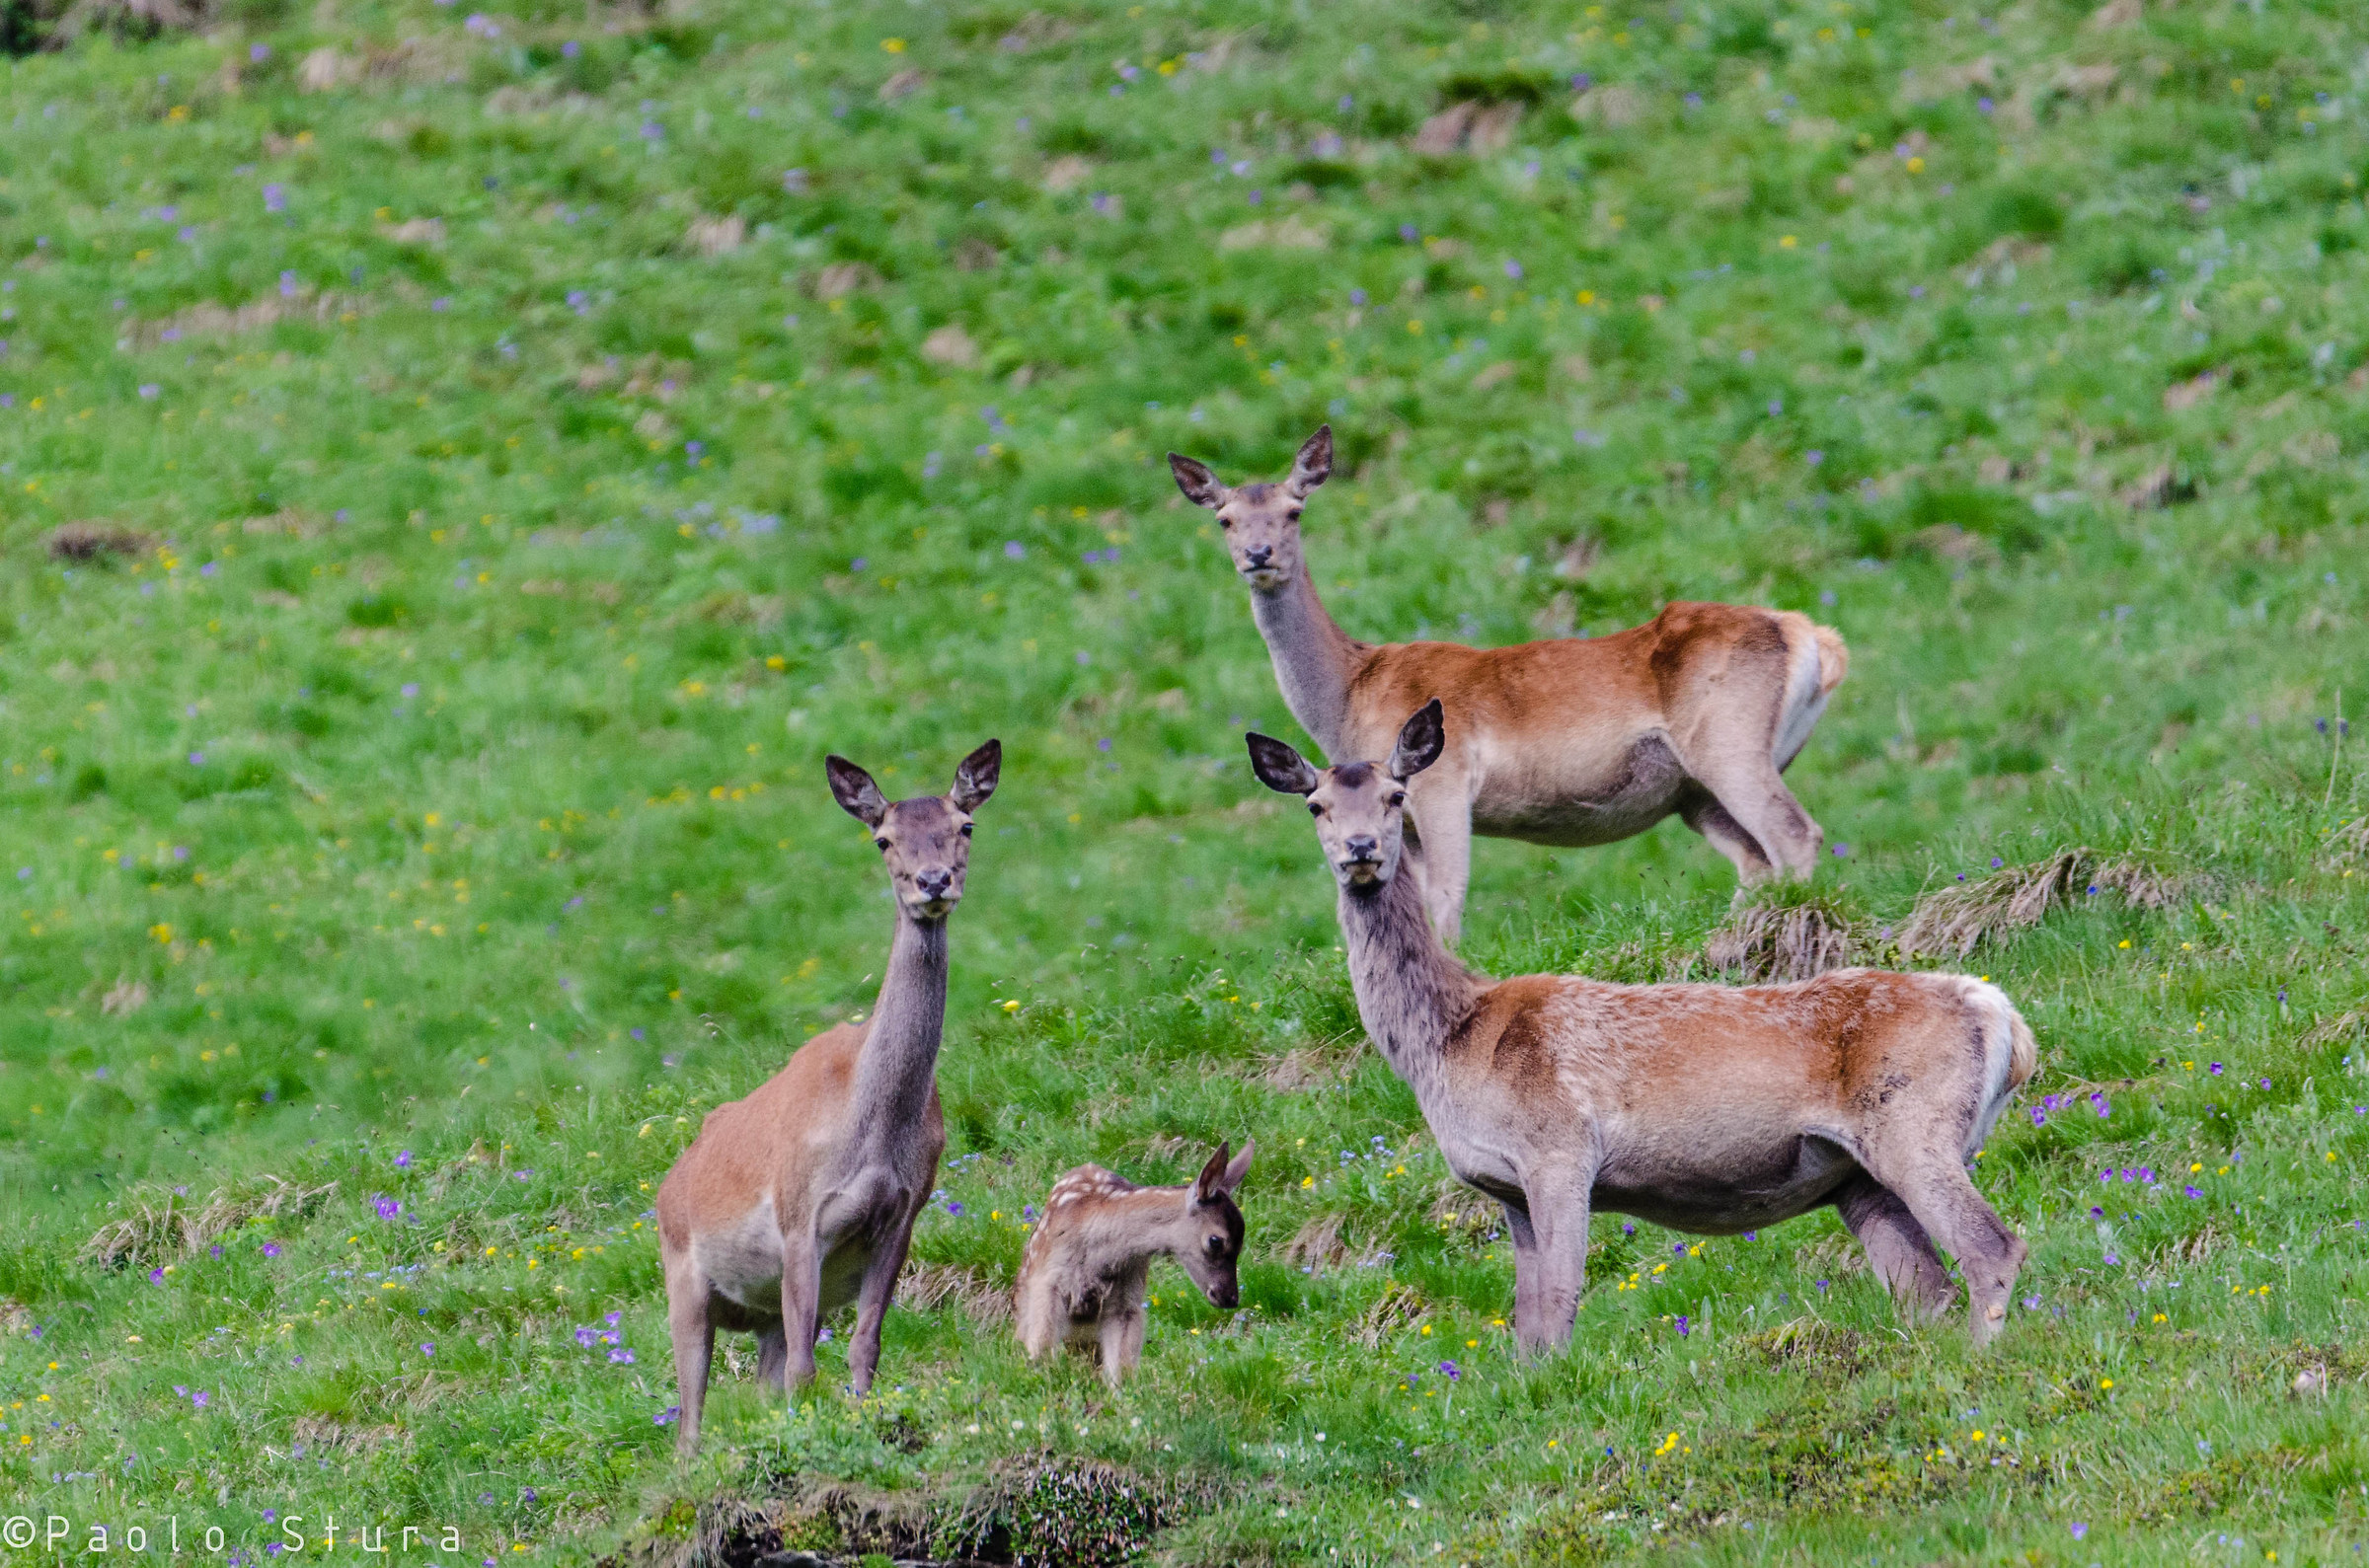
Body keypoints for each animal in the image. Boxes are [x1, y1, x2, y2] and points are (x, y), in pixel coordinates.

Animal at [656, 740, 1000, 1455]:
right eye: (882, 838)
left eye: (965, 825)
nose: (933, 883)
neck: (870, 1127)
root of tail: (665, 1187)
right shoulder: (800, 1216)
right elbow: (806, 1370)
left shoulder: (903, 1213)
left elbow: (864, 1345)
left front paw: (864, 1419)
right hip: (684, 1283)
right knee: (690, 1412)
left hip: (757, 1310)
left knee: (763, 1373)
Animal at [1013, 1141, 1255, 1387]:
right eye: (1216, 1240)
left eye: (1242, 1243)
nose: (1230, 1297)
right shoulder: (1048, 1282)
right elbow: (1042, 1348)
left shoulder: (1127, 1301)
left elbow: (1123, 1368)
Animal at [1170, 426, 1850, 945]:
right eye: (1225, 519)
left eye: (1294, 511)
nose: (1259, 554)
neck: (1347, 698)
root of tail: (1815, 638)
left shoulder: (1442, 783)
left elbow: (1448, 899)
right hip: (1697, 790)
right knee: (1756, 860)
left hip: (1728, 741)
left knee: (1794, 835)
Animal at [1245, 699, 2035, 1352]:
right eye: (1315, 805)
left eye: (1396, 794)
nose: (1361, 850)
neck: (1449, 1042)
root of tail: (2004, 1019)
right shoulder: (1505, 1186)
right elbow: (1525, 1324)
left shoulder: (1560, 1149)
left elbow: (1559, 1303)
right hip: (1855, 1176)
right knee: (1927, 1287)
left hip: (1914, 1124)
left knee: (1992, 1247)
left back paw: (1983, 1358)